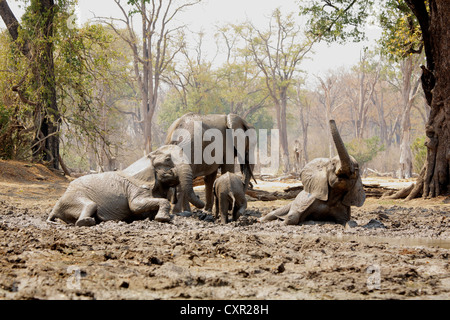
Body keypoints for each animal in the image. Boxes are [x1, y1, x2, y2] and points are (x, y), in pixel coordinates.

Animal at [46, 145, 202, 225]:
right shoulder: (136, 188)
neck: (146, 158)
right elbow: (136, 206)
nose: (202, 201)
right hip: (73, 197)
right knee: (90, 205)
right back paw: (86, 222)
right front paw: (163, 219)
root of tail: (55, 209)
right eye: (168, 159)